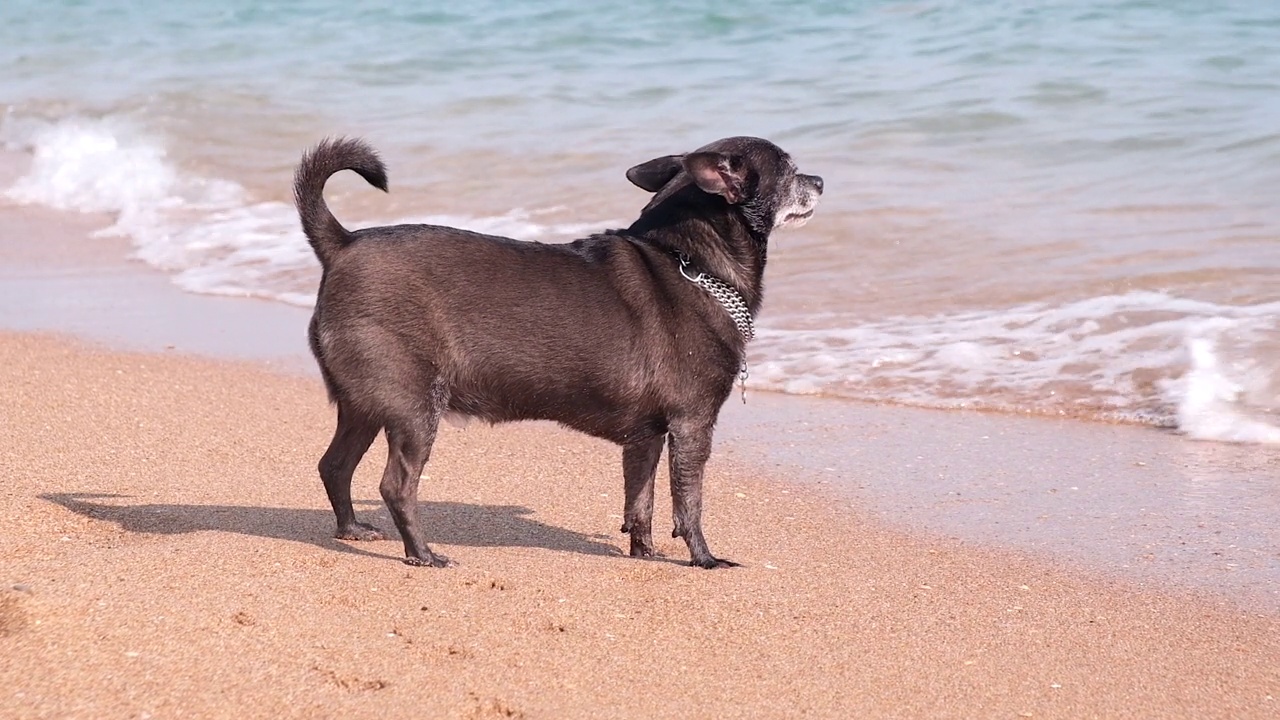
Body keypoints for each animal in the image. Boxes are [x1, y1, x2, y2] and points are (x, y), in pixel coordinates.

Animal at [294, 131, 824, 563]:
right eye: (788, 169)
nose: (819, 180)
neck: (690, 263)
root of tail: (343, 244)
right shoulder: (692, 426)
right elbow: (687, 504)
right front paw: (704, 559)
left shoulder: (646, 438)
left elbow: (641, 502)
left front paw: (645, 554)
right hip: (414, 409)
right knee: (396, 486)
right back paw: (423, 554)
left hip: (366, 405)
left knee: (334, 466)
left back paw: (351, 529)